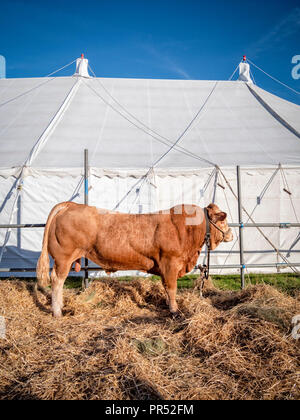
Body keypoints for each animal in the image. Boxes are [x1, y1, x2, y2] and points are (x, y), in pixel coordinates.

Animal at [36, 202, 233, 316]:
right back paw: (57, 311)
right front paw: (174, 310)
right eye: (223, 220)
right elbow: (171, 288)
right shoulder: (170, 263)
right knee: (57, 280)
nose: (231, 234)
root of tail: (72, 205)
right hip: (63, 258)